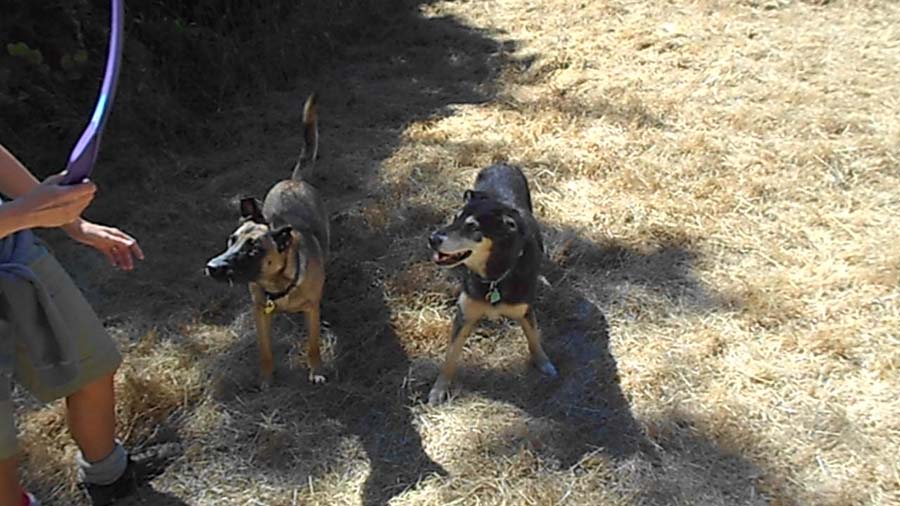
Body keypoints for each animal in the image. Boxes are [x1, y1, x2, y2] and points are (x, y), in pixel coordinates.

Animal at [205, 94, 329, 388]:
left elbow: (313, 346)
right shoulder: (259, 312)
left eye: (254, 249)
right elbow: (265, 351)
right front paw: (266, 378)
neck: (278, 284)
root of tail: (293, 180)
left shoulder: (311, 310)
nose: (212, 267)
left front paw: (316, 370)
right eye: (231, 240)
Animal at [427, 163, 558, 404]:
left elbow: (533, 337)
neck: (494, 277)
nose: (432, 239)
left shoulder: (524, 309)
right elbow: (451, 356)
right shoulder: (465, 314)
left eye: (473, 227)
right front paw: (438, 389)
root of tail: (501, 163)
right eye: (455, 219)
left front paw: (543, 362)